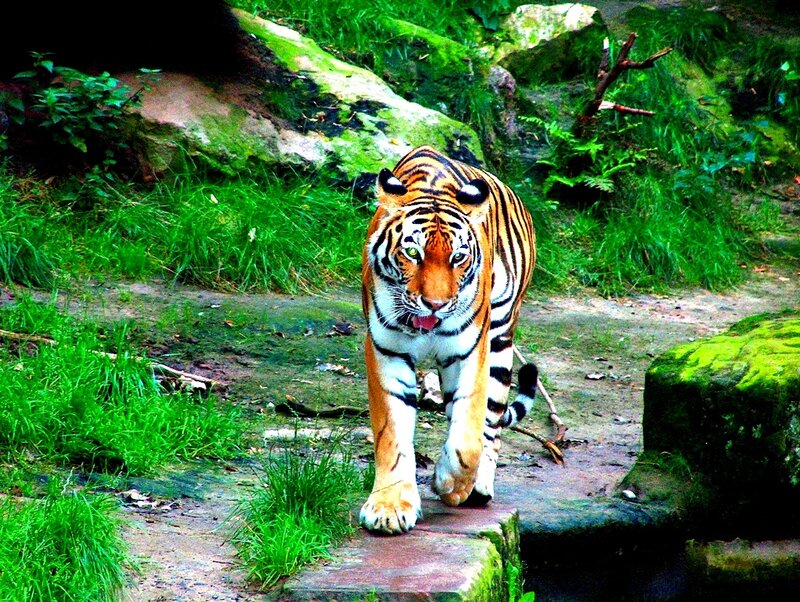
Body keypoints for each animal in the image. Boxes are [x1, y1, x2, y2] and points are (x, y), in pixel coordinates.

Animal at [360, 145, 538, 534]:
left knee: (491, 423)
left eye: (458, 256)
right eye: (413, 253)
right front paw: (389, 507)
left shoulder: (470, 350)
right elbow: (392, 433)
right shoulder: (386, 349)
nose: (436, 304)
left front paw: (450, 483)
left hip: (500, 338)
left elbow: (468, 435)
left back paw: (478, 487)